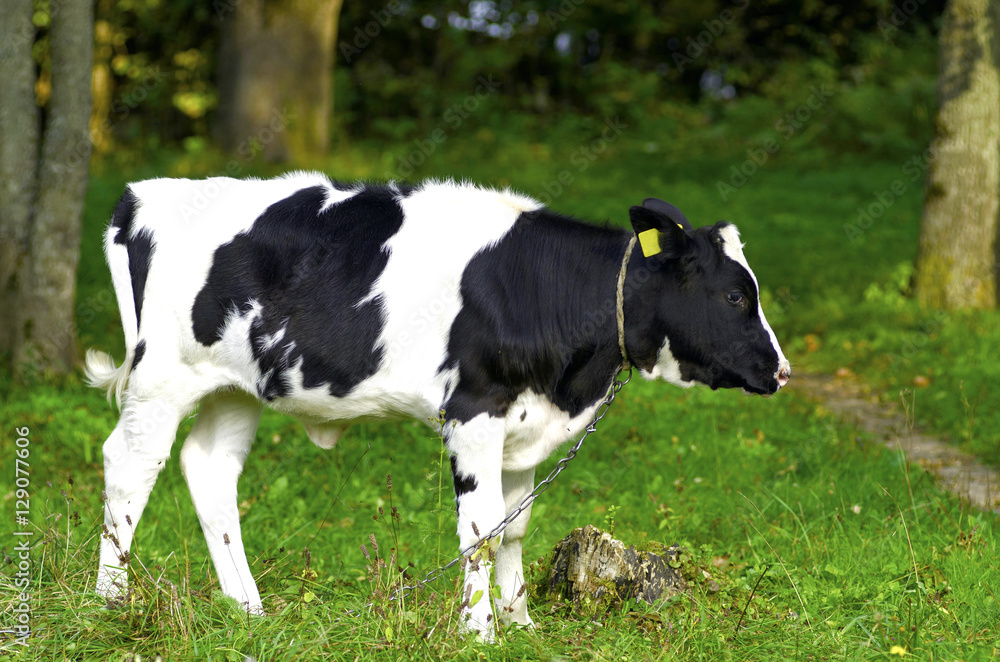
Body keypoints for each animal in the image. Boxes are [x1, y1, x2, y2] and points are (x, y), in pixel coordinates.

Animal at [86, 174, 788, 640]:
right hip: (161, 377)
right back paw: (111, 604)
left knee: (209, 471)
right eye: (734, 295)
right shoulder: (474, 412)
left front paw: (522, 623)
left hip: (236, 387)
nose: (780, 370)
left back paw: (248, 610)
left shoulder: (524, 427)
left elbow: (515, 526)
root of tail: (143, 195)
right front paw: (480, 633)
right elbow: (479, 530)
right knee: (129, 467)